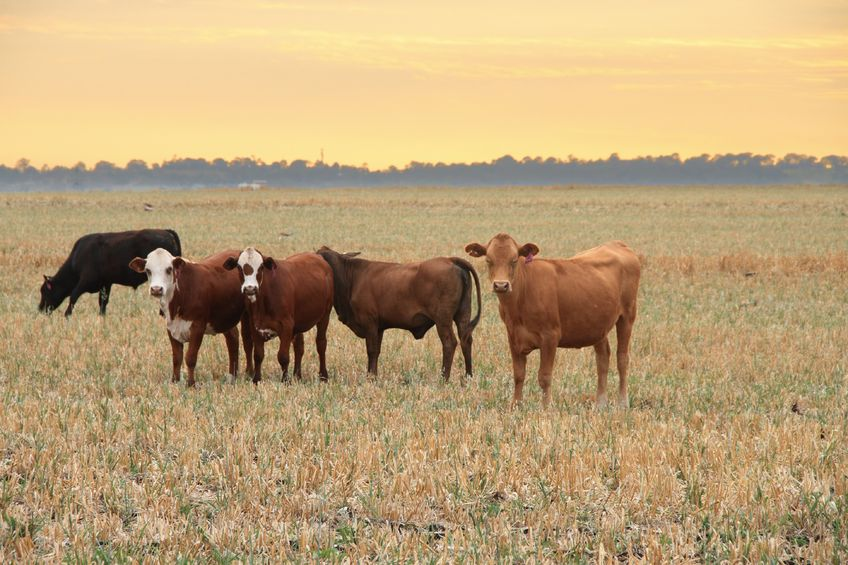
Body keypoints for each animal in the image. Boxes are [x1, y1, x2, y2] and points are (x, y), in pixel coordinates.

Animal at [39, 229, 181, 318]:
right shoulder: (106, 284)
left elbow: (73, 296)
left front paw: (67, 315)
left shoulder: (85, 282)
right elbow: (103, 302)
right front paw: (102, 316)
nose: (40, 309)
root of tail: (166, 232)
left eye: (44, 291)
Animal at [126, 248, 252, 386]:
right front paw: (174, 381)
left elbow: (190, 357)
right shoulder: (171, 327)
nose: (156, 289)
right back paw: (232, 376)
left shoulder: (197, 326)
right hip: (225, 318)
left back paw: (249, 374)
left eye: (169, 269)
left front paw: (191, 384)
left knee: (247, 342)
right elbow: (177, 358)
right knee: (233, 338)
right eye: (148, 270)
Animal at [224, 246, 332, 382]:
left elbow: (283, 356)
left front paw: (285, 380)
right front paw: (256, 379)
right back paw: (297, 375)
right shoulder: (255, 326)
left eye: (261, 267)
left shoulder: (286, 326)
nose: (250, 288)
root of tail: (318, 258)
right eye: (239, 267)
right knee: (299, 347)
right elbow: (258, 355)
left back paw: (323, 375)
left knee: (321, 343)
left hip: (325, 315)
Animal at [314, 246, 480, 382]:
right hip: (463, 315)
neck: (352, 279)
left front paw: (370, 378)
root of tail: (449, 259)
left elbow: (371, 350)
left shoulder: (370, 323)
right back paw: (468, 376)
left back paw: (444, 378)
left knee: (449, 343)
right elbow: (376, 351)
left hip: (442, 320)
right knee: (466, 340)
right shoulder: (379, 328)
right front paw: (373, 376)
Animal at [464, 231, 644, 408]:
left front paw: (546, 408)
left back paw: (623, 403)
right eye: (488, 260)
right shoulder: (513, 336)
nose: (501, 285)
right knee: (603, 358)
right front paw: (515, 406)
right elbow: (519, 374)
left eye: (514, 260)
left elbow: (544, 376)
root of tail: (617, 244)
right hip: (597, 324)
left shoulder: (550, 336)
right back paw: (600, 404)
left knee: (622, 358)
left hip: (627, 316)